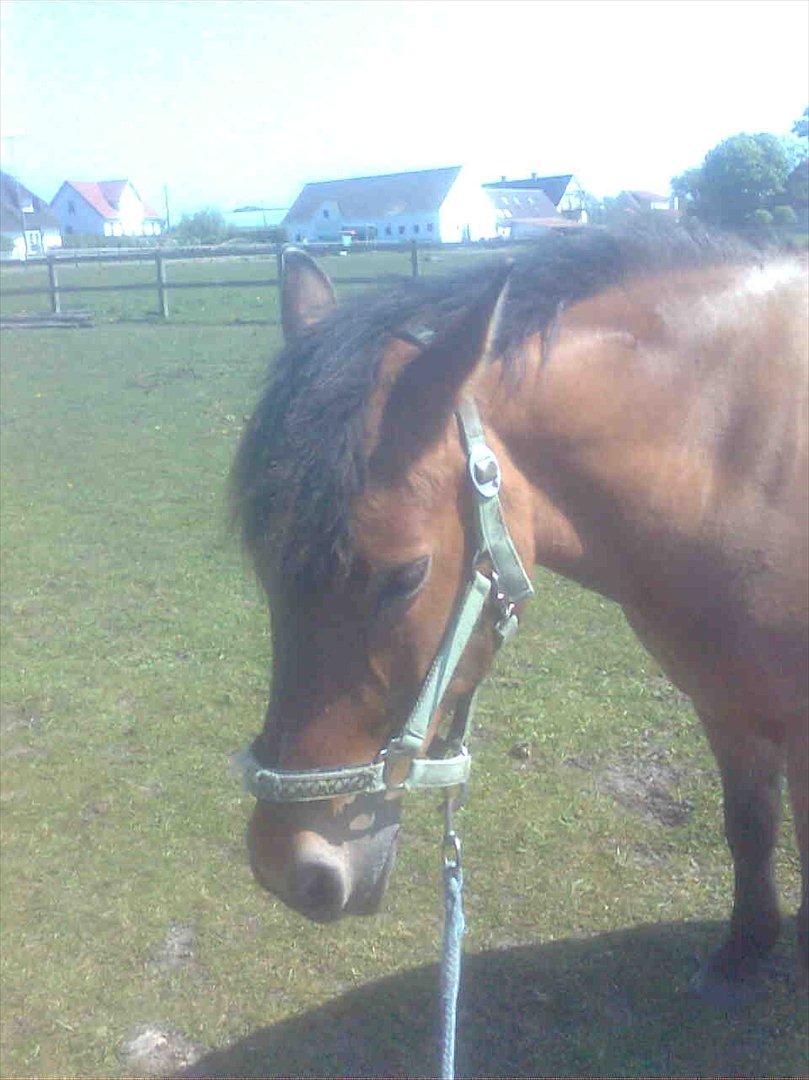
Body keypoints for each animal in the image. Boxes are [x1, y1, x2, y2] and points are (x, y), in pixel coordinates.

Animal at [231, 221, 808, 992]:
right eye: (266, 573)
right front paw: (745, 946)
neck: (745, 464)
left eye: (404, 578)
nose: (286, 868)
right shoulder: (724, 703)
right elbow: (747, 823)